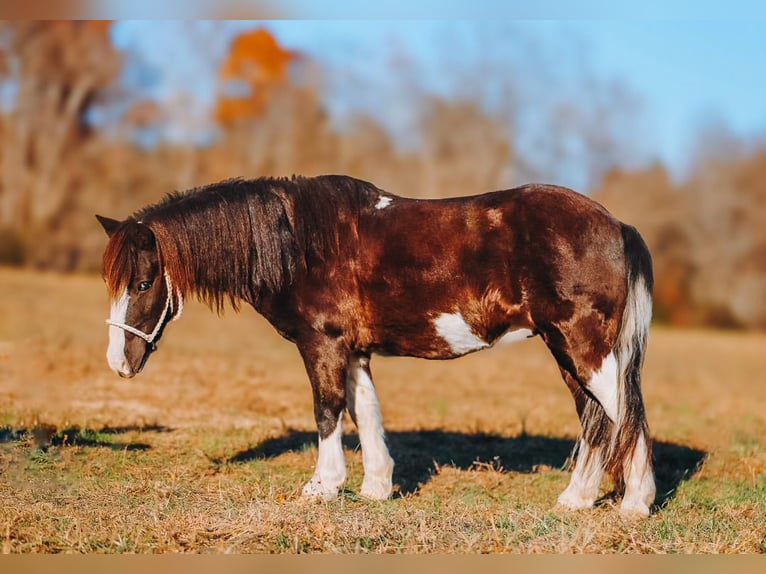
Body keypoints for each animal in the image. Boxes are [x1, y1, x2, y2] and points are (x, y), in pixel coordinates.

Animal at [97, 174, 655, 516]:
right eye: (113, 283)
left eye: (142, 284)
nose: (118, 363)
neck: (300, 243)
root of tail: (616, 225)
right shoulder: (354, 351)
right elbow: (365, 410)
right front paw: (376, 488)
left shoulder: (321, 344)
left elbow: (327, 410)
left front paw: (322, 487)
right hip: (571, 352)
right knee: (605, 418)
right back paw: (592, 500)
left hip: (582, 347)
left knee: (621, 411)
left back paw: (620, 502)